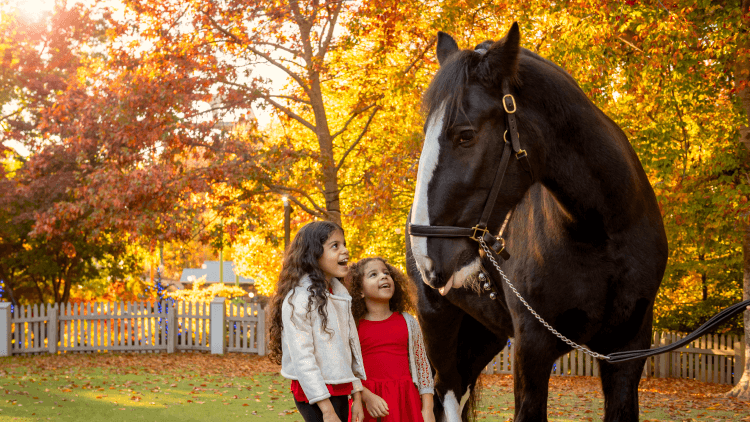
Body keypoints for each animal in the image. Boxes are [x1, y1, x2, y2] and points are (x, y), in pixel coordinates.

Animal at [405, 23, 668, 422]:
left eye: (465, 135)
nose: (426, 256)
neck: (602, 235)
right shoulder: (532, 348)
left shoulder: (627, 350)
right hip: (437, 322)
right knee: (447, 394)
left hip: (485, 333)